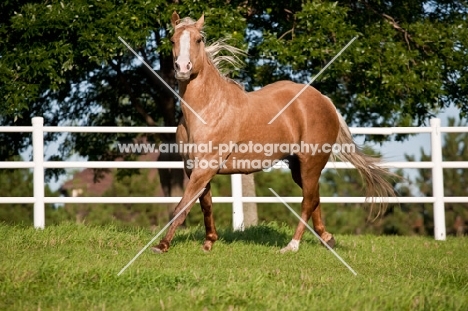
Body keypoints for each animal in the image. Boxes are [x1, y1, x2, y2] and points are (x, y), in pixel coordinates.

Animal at [152, 12, 394, 256]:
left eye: (198, 39)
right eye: (172, 40)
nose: (182, 68)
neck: (206, 110)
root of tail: (325, 100)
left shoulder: (205, 166)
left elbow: (182, 206)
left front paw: (162, 245)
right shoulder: (193, 166)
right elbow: (205, 204)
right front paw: (209, 241)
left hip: (311, 163)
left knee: (308, 201)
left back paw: (292, 245)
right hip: (298, 166)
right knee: (315, 198)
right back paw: (327, 238)